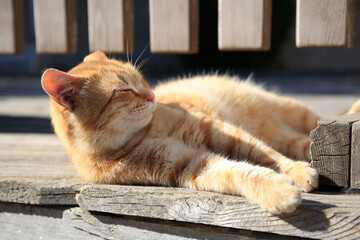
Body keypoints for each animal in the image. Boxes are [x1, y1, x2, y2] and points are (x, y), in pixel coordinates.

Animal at [40, 50, 320, 214]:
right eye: (124, 91)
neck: (140, 135)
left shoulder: (218, 131)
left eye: (141, 79)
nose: (152, 96)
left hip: (292, 112)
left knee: (306, 134)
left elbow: (266, 154)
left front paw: (297, 171)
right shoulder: (190, 164)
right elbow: (240, 173)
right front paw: (279, 192)